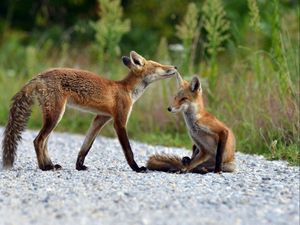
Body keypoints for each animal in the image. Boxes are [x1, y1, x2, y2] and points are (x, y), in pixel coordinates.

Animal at [1, 50, 177, 171]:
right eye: (159, 65)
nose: (175, 66)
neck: (126, 90)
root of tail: (39, 76)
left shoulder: (100, 118)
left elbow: (86, 146)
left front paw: (79, 166)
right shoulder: (119, 122)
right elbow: (128, 150)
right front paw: (137, 168)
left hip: (53, 117)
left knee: (44, 142)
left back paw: (50, 164)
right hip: (56, 116)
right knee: (38, 141)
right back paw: (44, 167)